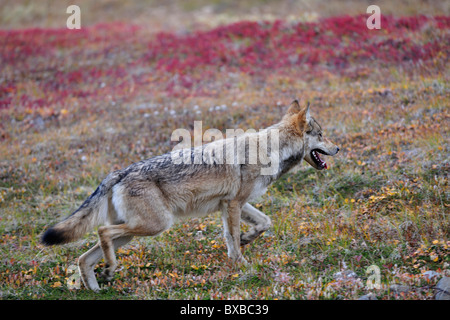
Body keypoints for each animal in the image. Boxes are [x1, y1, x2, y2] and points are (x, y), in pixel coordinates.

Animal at [41, 100, 338, 290]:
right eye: (322, 135)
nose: (338, 148)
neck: (270, 149)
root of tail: (118, 173)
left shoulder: (230, 204)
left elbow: (262, 224)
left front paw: (246, 241)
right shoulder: (233, 204)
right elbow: (232, 237)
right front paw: (241, 263)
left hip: (132, 233)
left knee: (84, 257)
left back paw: (97, 287)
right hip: (155, 226)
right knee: (102, 232)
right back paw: (110, 270)